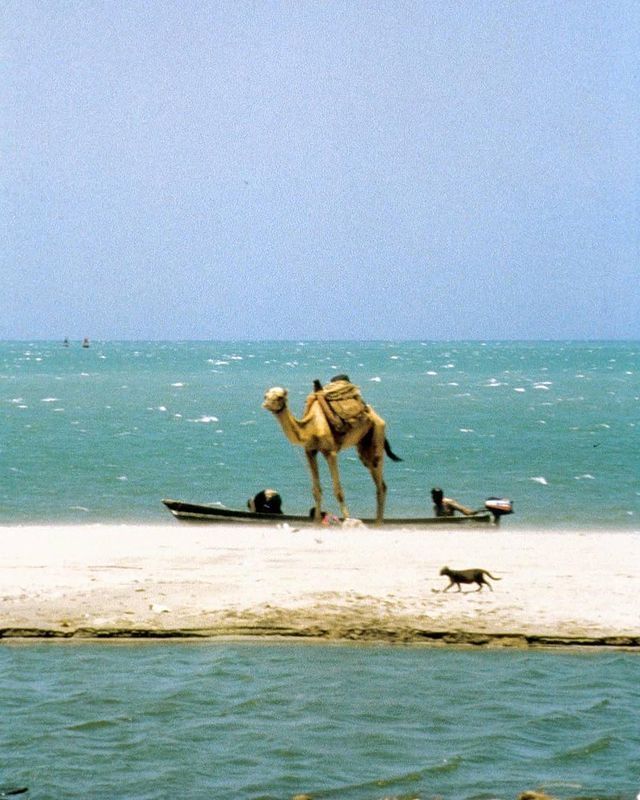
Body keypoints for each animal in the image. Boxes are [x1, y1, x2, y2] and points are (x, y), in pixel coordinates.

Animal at [262, 381, 402, 524]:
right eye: (265, 396)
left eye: (279, 397)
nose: (266, 404)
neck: (311, 427)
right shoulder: (310, 452)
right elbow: (316, 490)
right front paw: (317, 520)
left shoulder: (330, 453)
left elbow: (338, 491)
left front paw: (348, 520)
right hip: (363, 445)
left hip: (376, 435)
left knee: (380, 483)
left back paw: (379, 522)